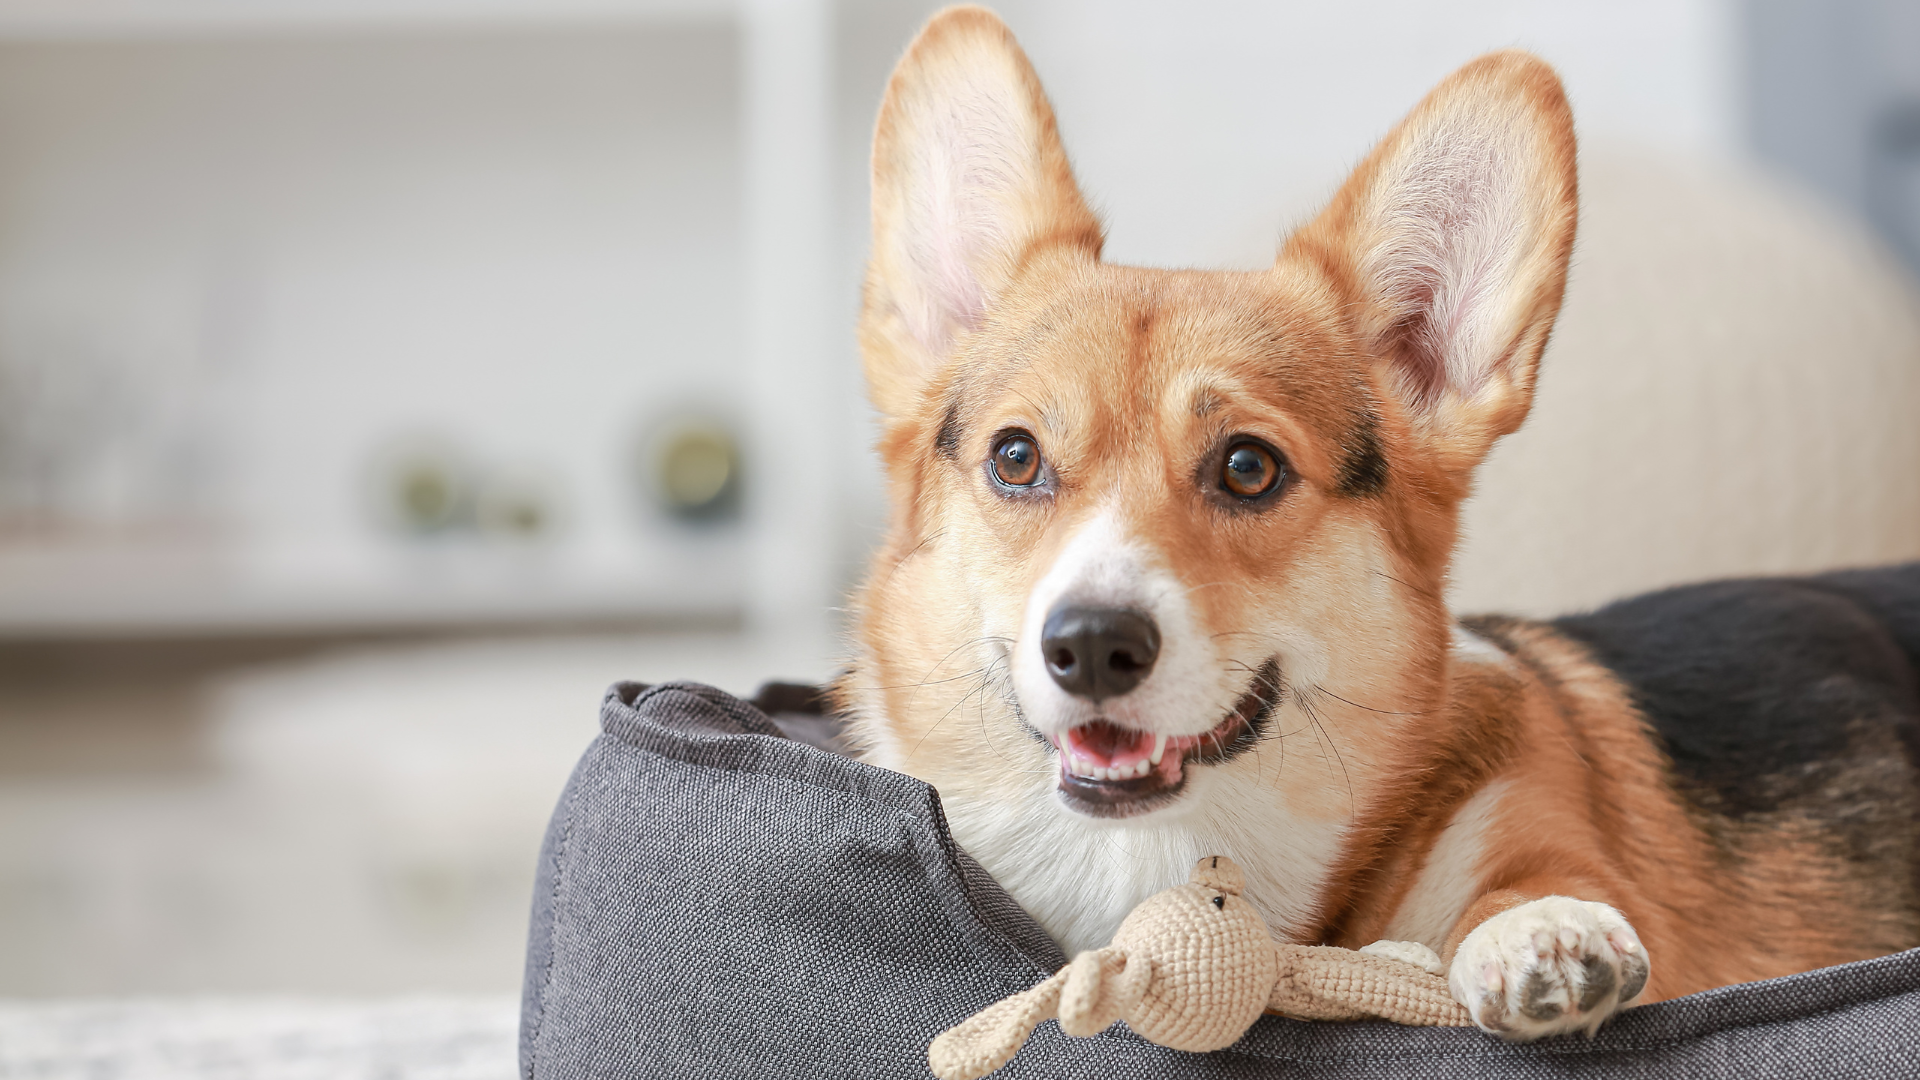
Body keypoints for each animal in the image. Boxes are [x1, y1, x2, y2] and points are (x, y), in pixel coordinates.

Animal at [844, 6, 1920, 1037]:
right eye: (1016, 458)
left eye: (1248, 468)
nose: (1093, 646)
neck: (1163, 854)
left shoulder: (1533, 824)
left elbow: (1531, 888)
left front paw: (1538, 932)